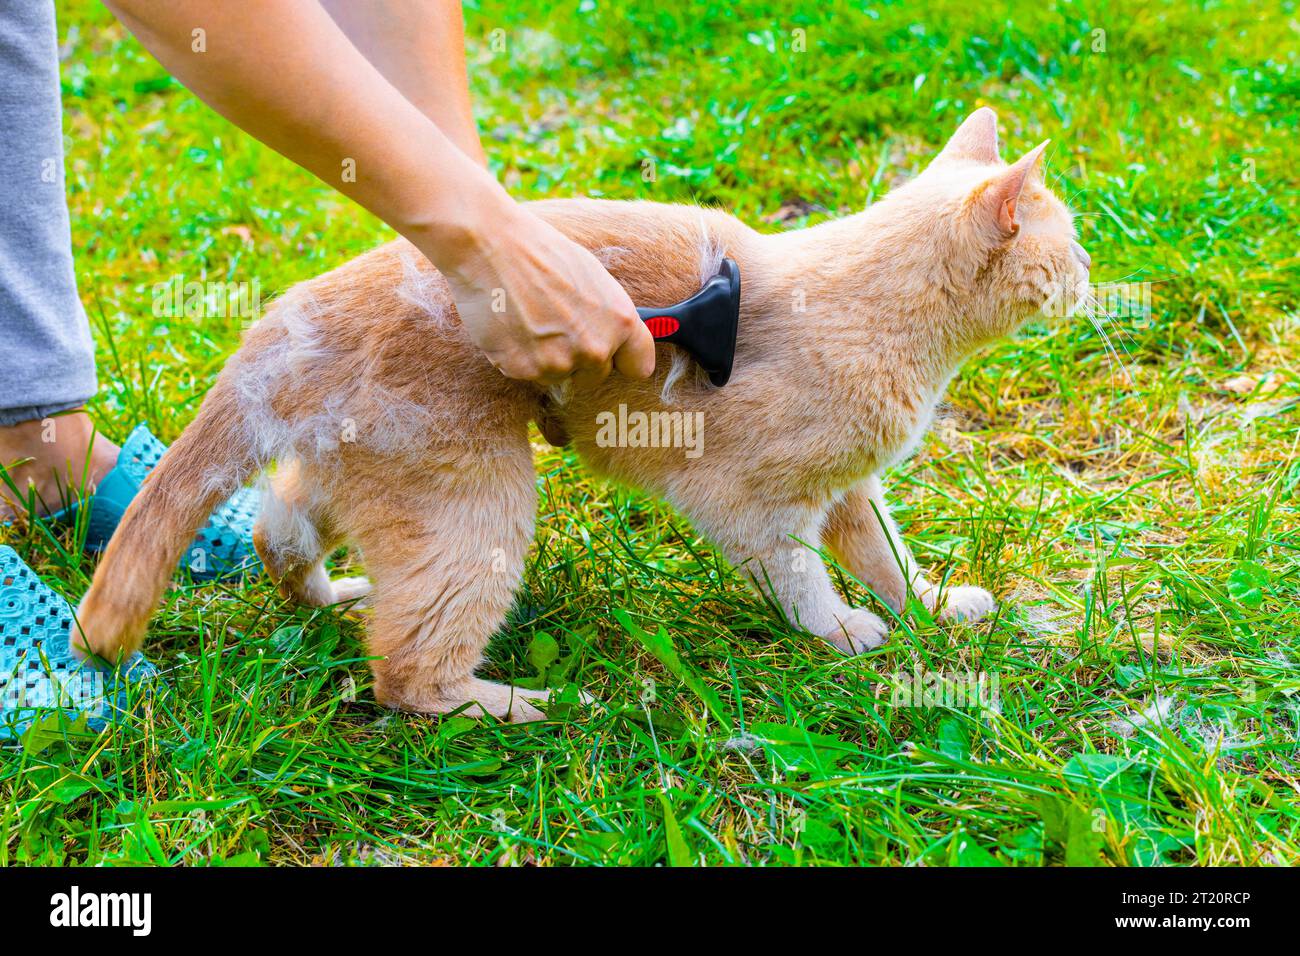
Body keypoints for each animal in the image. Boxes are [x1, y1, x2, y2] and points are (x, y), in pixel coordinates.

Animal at [73, 108, 1086, 723]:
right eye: (1072, 245)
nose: (1092, 275)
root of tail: (283, 318)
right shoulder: (756, 504)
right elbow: (800, 578)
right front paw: (840, 635)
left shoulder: (848, 489)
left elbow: (888, 558)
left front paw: (933, 608)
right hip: (475, 498)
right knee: (403, 669)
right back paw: (521, 707)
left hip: (364, 473)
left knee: (279, 530)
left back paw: (332, 596)